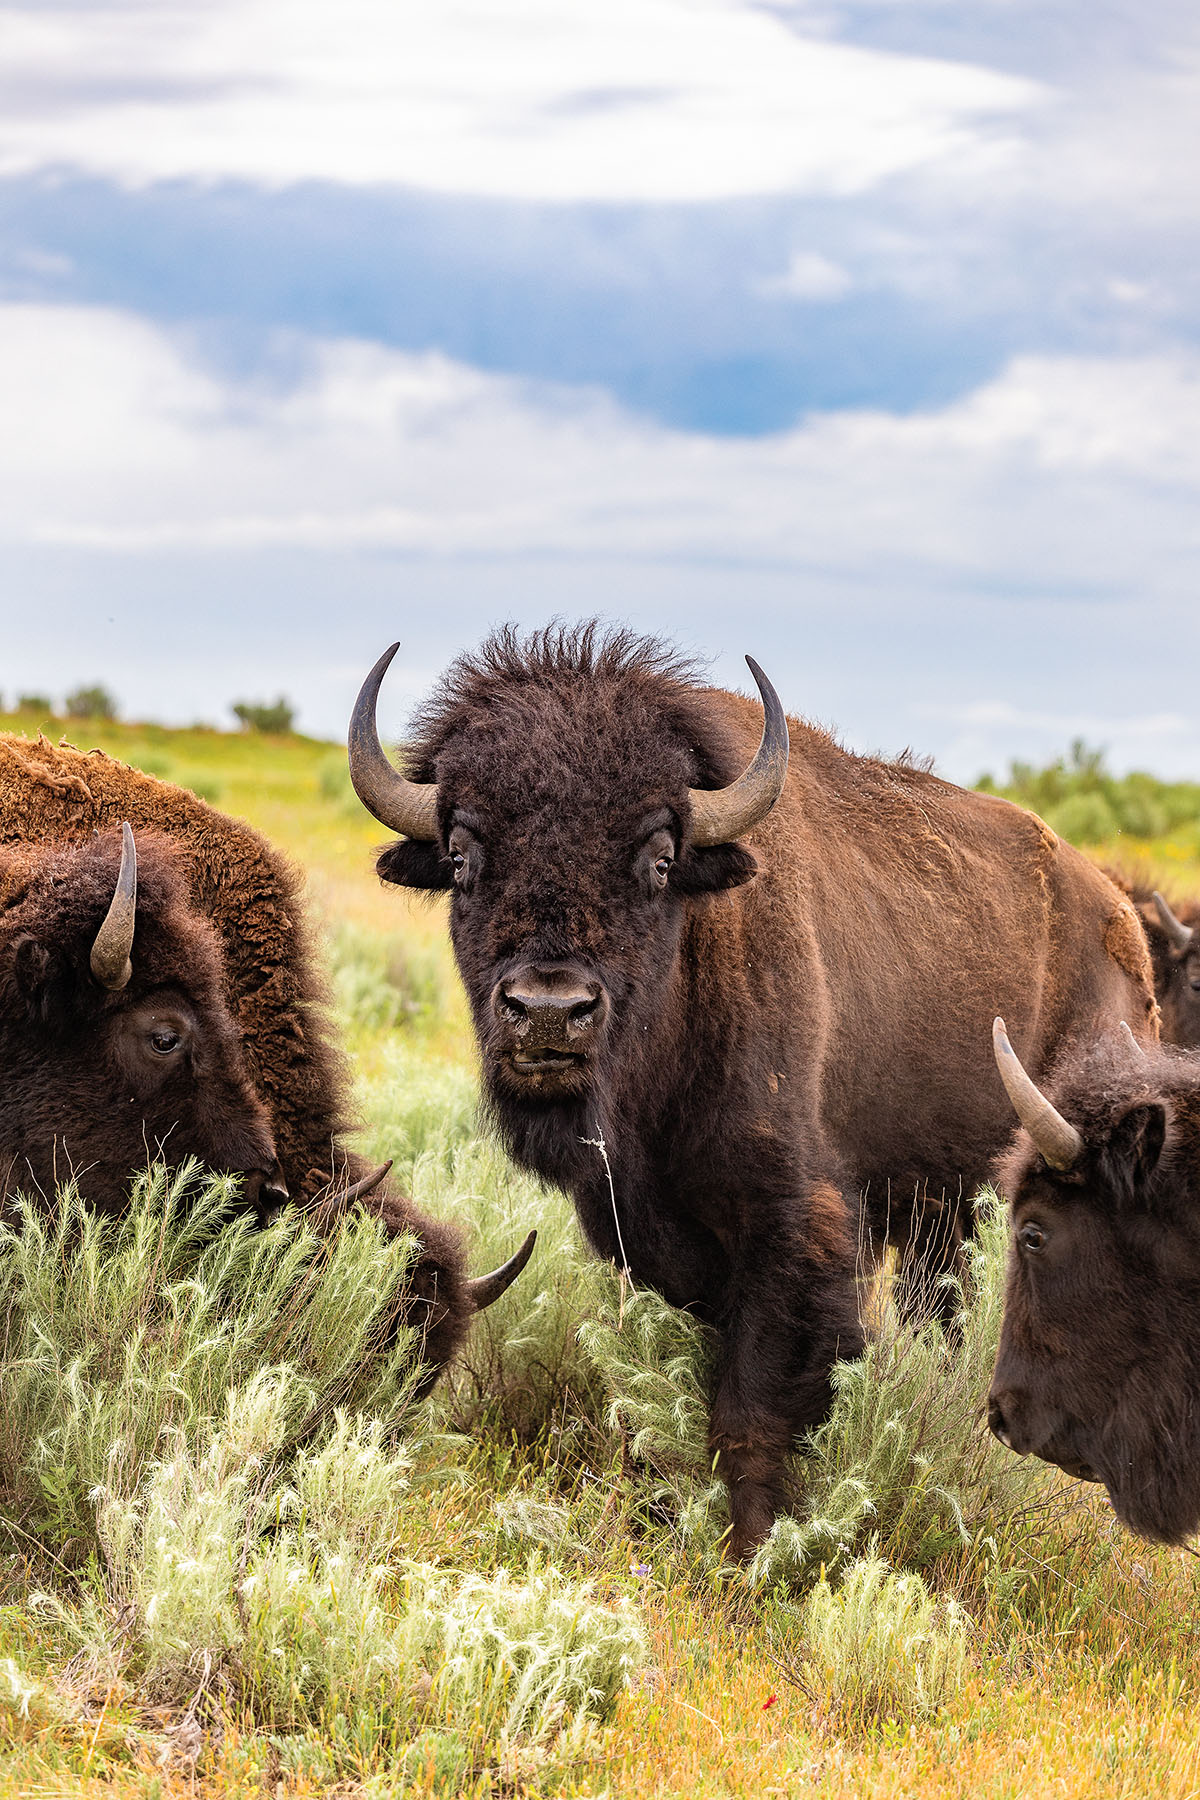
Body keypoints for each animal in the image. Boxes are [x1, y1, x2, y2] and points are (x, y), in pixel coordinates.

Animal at [352, 626, 1158, 1555]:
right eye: (461, 855)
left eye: (660, 859)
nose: (549, 1011)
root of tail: (1121, 920)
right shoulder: (645, 1235)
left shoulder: (793, 1231)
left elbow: (748, 1410)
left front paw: (753, 1553)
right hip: (942, 1211)